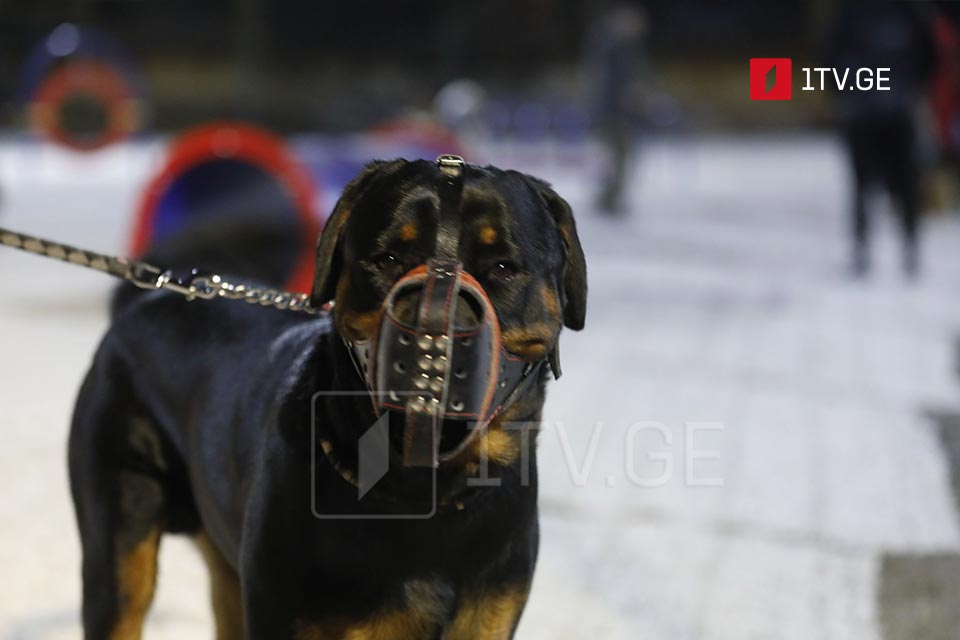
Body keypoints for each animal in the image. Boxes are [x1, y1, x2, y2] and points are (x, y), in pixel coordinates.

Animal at [65, 156, 584, 640]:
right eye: (388, 259)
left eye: (502, 268)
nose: (434, 325)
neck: (424, 495)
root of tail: (149, 296)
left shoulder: (490, 611)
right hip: (120, 534)